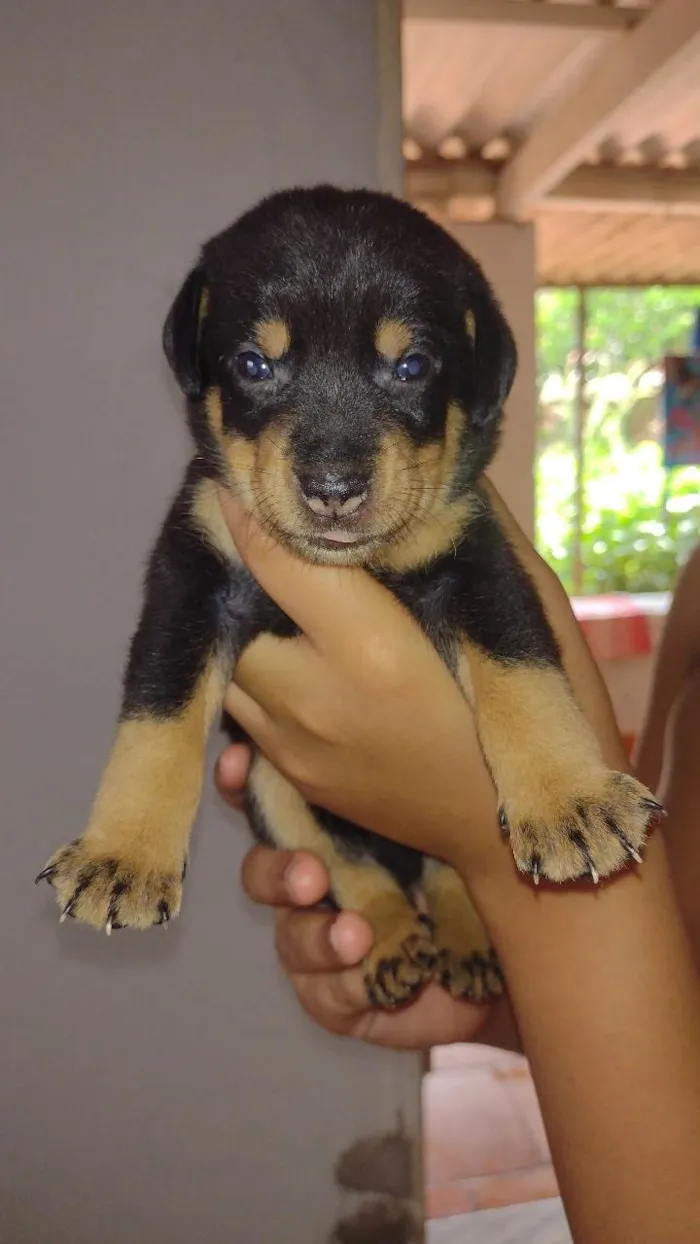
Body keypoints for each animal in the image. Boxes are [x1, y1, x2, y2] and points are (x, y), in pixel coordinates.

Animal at [36, 189, 661, 1010]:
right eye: (253, 364)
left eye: (411, 366)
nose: (333, 488)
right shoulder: (189, 579)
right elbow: (157, 717)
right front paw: (123, 856)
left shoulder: (476, 560)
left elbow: (523, 675)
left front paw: (572, 802)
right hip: (271, 787)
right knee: (355, 874)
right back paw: (392, 945)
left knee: (441, 866)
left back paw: (465, 937)